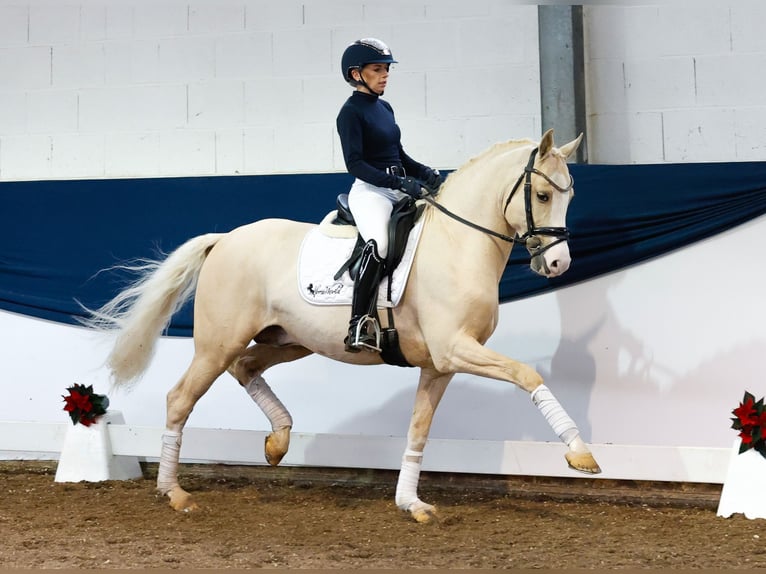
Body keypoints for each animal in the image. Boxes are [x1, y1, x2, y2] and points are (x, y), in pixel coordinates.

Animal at [84, 128, 600, 524]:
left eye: (571, 194)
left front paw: (411, 503)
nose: (558, 264)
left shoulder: (440, 364)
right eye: (542, 195)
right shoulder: (455, 349)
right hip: (217, 344)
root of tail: (225, 239)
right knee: (181, 398)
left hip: (289, 340)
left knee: (246, 367)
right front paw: (580, 453)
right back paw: (174, 493)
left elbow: (419, 430)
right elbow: (527, 374)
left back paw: (278, 441)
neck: (458, 243)